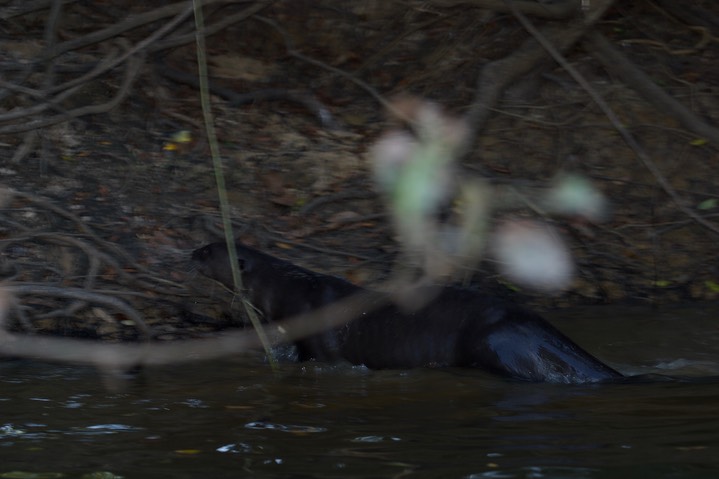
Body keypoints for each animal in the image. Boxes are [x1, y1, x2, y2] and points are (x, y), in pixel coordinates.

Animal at [193, 242, 624, 384]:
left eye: (209, 252)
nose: (190, 253)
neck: (292, 292)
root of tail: (532, 323)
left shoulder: (319, 342)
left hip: (497, 343)